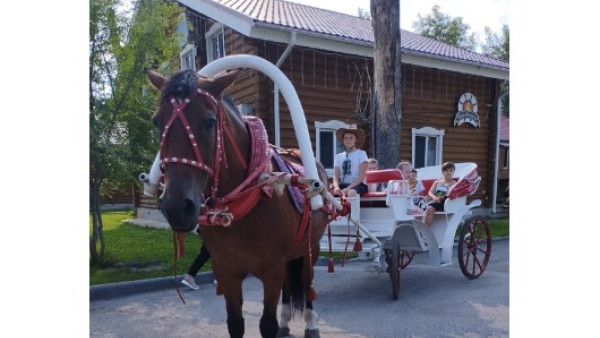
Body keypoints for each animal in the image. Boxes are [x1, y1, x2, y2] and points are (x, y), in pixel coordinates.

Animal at [146, 67, 332, 336]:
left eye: (210, 121)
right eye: (156, 121)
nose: (176, 207)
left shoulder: (272, 270)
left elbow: (267, 324)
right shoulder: (226, 272)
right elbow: (235, 323)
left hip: (311, 250)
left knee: (307, 287)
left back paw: (310, 323)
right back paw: (286, 321)